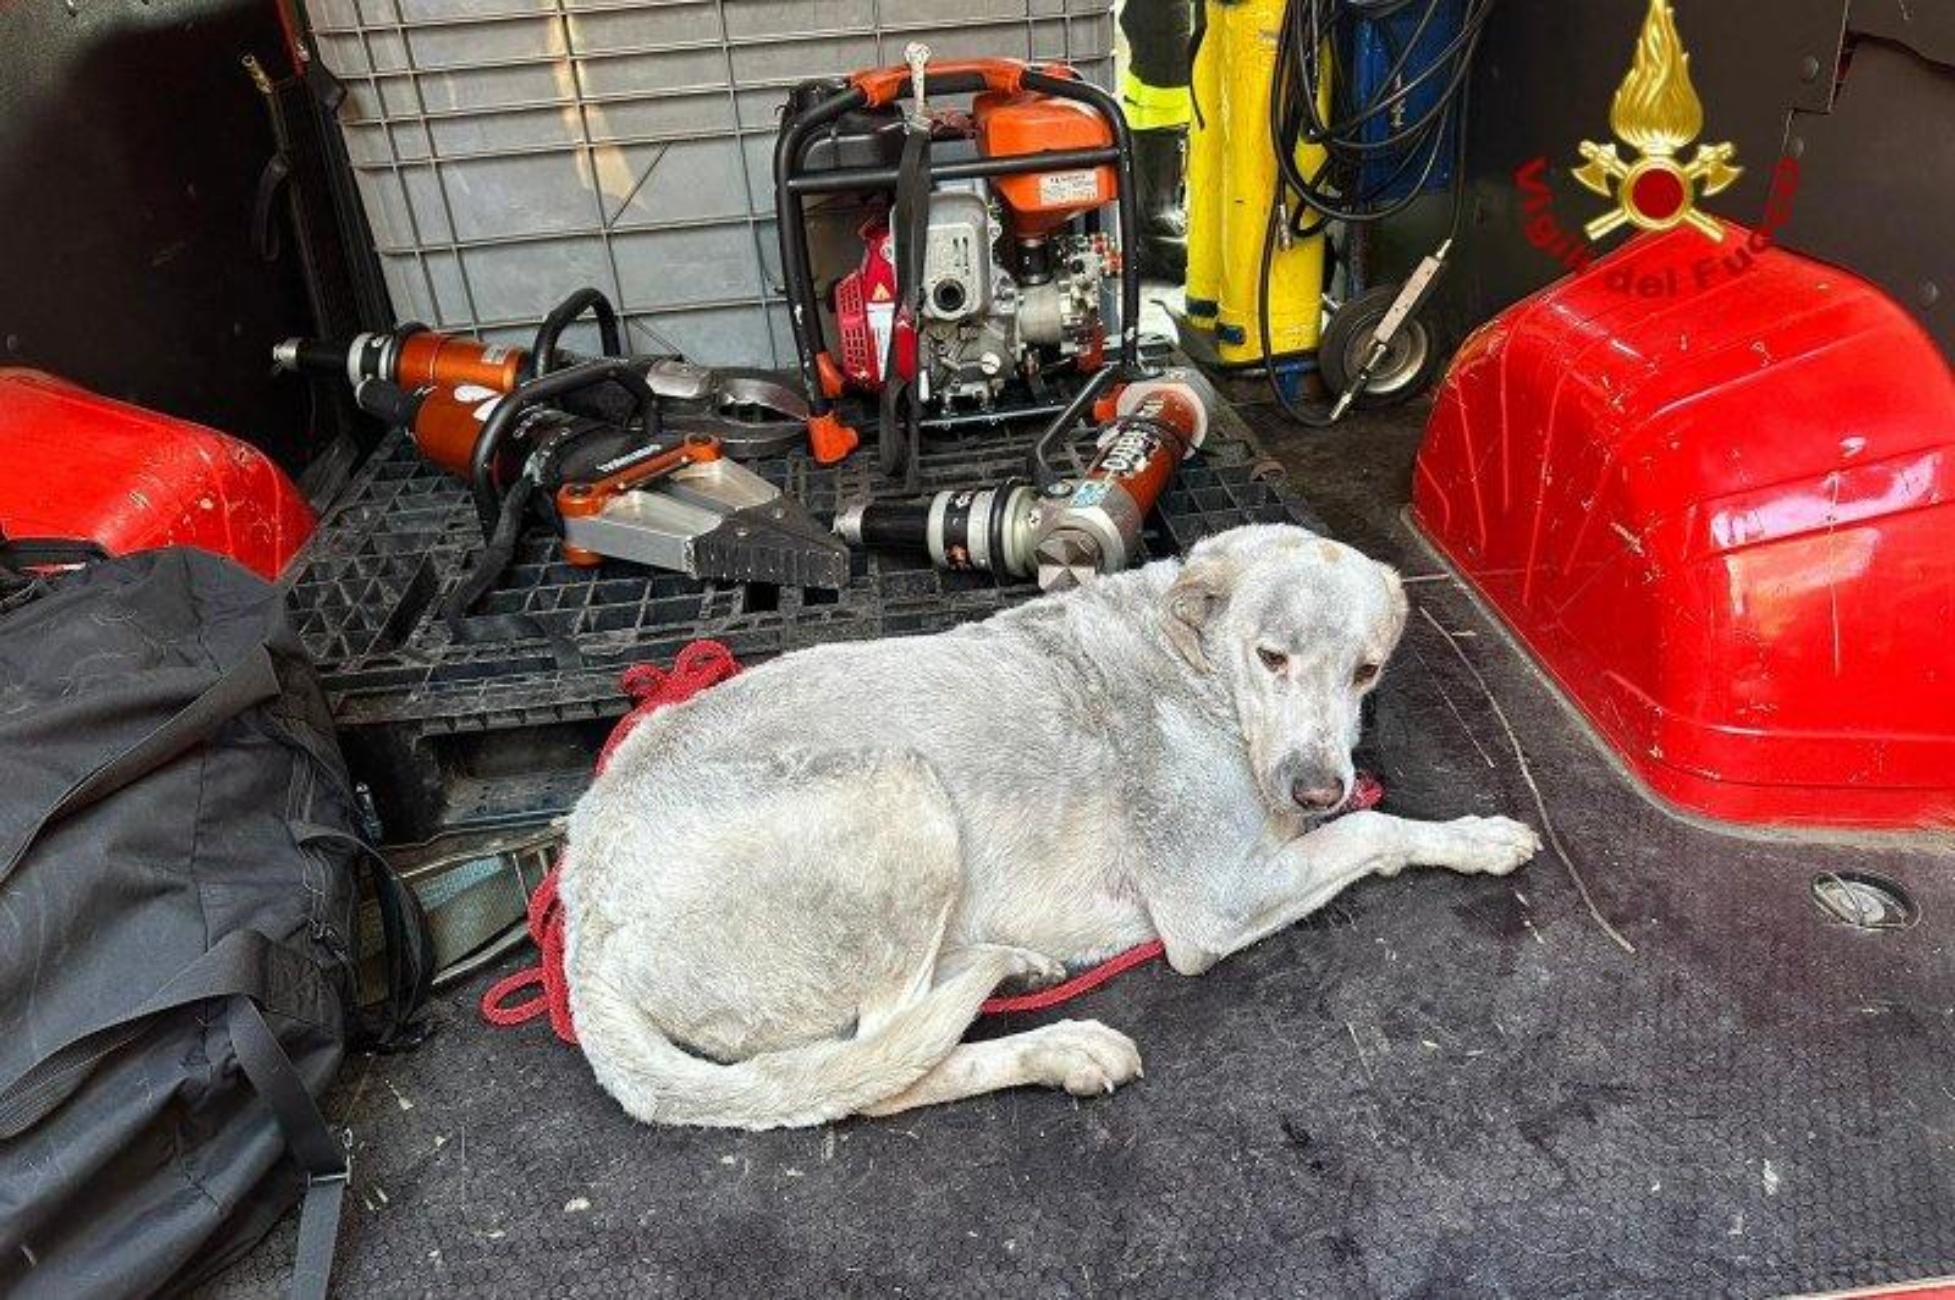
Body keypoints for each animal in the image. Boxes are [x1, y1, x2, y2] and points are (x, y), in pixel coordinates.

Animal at [563, 520, 1540, 1126]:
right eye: (1272, 658)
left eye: (1367, 670)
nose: (1314, 788)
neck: (1194, 662)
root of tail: (581, 917)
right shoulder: (1210, 909)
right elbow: (1374, 833)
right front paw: (1465, 836)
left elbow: (1368, 825)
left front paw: (1468, 834)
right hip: (900, 790)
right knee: (876, 1073)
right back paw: (1059, 1046)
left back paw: (1015, 966)